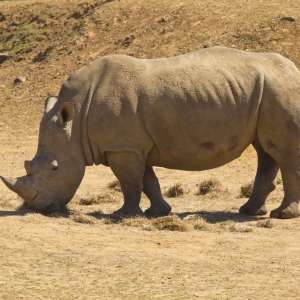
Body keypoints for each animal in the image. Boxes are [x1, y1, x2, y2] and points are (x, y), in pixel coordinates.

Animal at [0, 47, 300, 218]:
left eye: (54, 168)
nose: (40, 209)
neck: (76, 115)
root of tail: (293, 69)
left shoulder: (122, 146)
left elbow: (129, 182)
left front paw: (122, 215)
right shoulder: (132, 145)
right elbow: (147, 180)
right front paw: (158, 213)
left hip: (279, 89)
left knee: (282, 153)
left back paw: (282, 215)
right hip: (266, 92)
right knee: (266, 150)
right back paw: (250, 212)